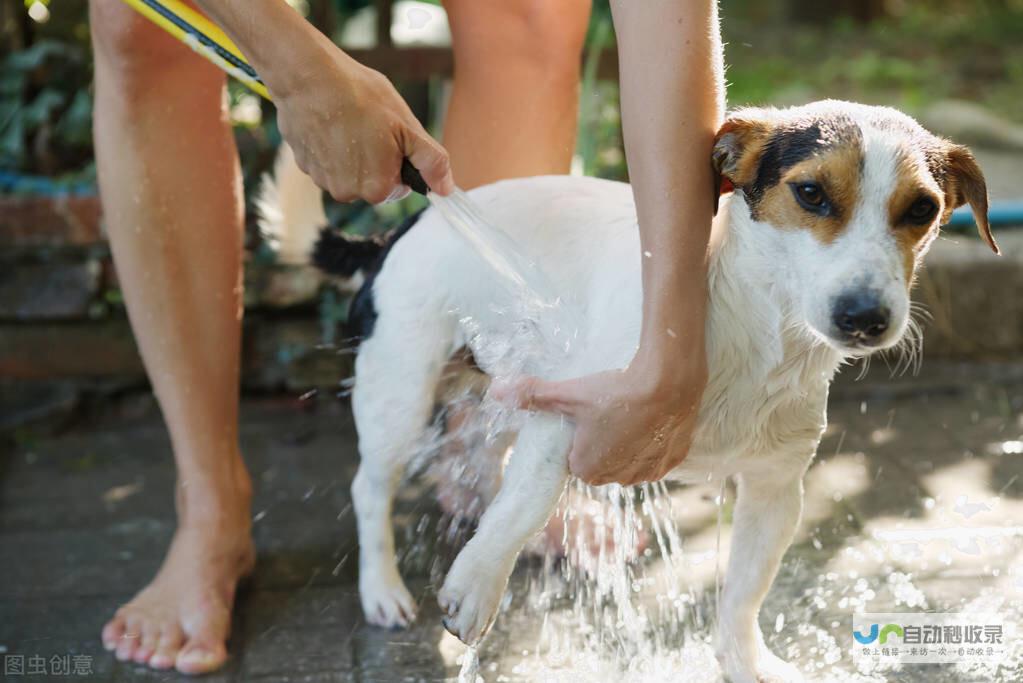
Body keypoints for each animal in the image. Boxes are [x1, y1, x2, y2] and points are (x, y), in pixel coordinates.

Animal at [259, 101, 994, 683]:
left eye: (922, 209)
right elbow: (524, 502)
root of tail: (400, 230)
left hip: (506, 389)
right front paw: (476, 584)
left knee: (482, 465)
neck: (753, 330)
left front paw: (745, 663)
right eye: (811, 193)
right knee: (371, 487)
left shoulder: (775, 490)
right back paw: (383, 588)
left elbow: (742, 597)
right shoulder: (570, 413)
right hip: (401, 393)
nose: (865, 316)